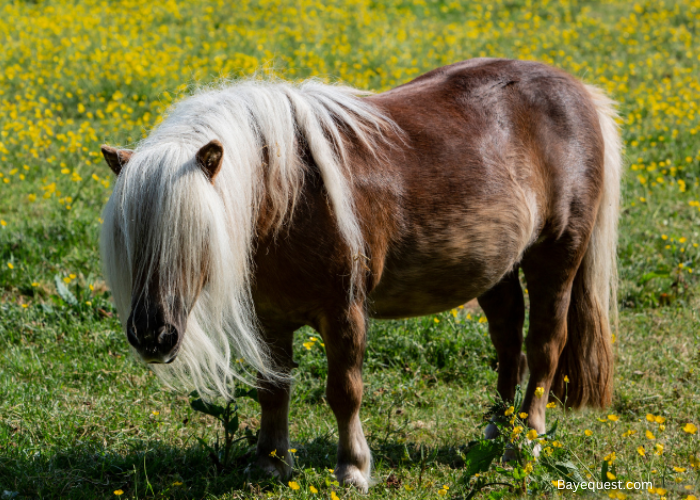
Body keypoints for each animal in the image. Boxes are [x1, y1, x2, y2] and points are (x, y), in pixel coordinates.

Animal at [100, 59, 624, 492]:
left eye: (197, 236)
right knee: (508, 342)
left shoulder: (344, 312)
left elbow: (344, 392)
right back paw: (498, 430)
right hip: (496, 269)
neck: (292, 199)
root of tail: (579, 91)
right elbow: (273, 389)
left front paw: (352, 468)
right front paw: (271, 463)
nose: (152, 336)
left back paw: (525, 442)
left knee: (544, 347)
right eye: (128, 238)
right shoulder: (271, 319)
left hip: (555, 260)